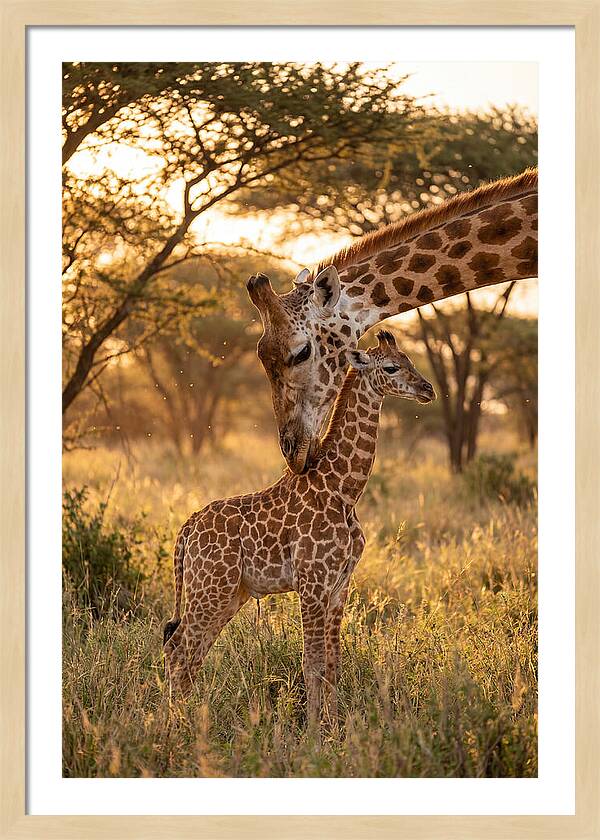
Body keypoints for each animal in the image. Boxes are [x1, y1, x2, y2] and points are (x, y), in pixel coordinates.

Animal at [163, 330, 435, 728]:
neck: (343, 489)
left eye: (409, 360)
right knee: (178, 648)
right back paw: (172, 727)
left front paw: (334, 728)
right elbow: (311, 663)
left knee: (190, 650)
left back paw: (185, 720)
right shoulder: (312, 582)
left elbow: (333, 664)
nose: (428, 389)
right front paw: (312, 733)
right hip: (209, 588)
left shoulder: (339, 585)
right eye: (391, 367)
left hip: (229, 593)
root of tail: (187, 529)